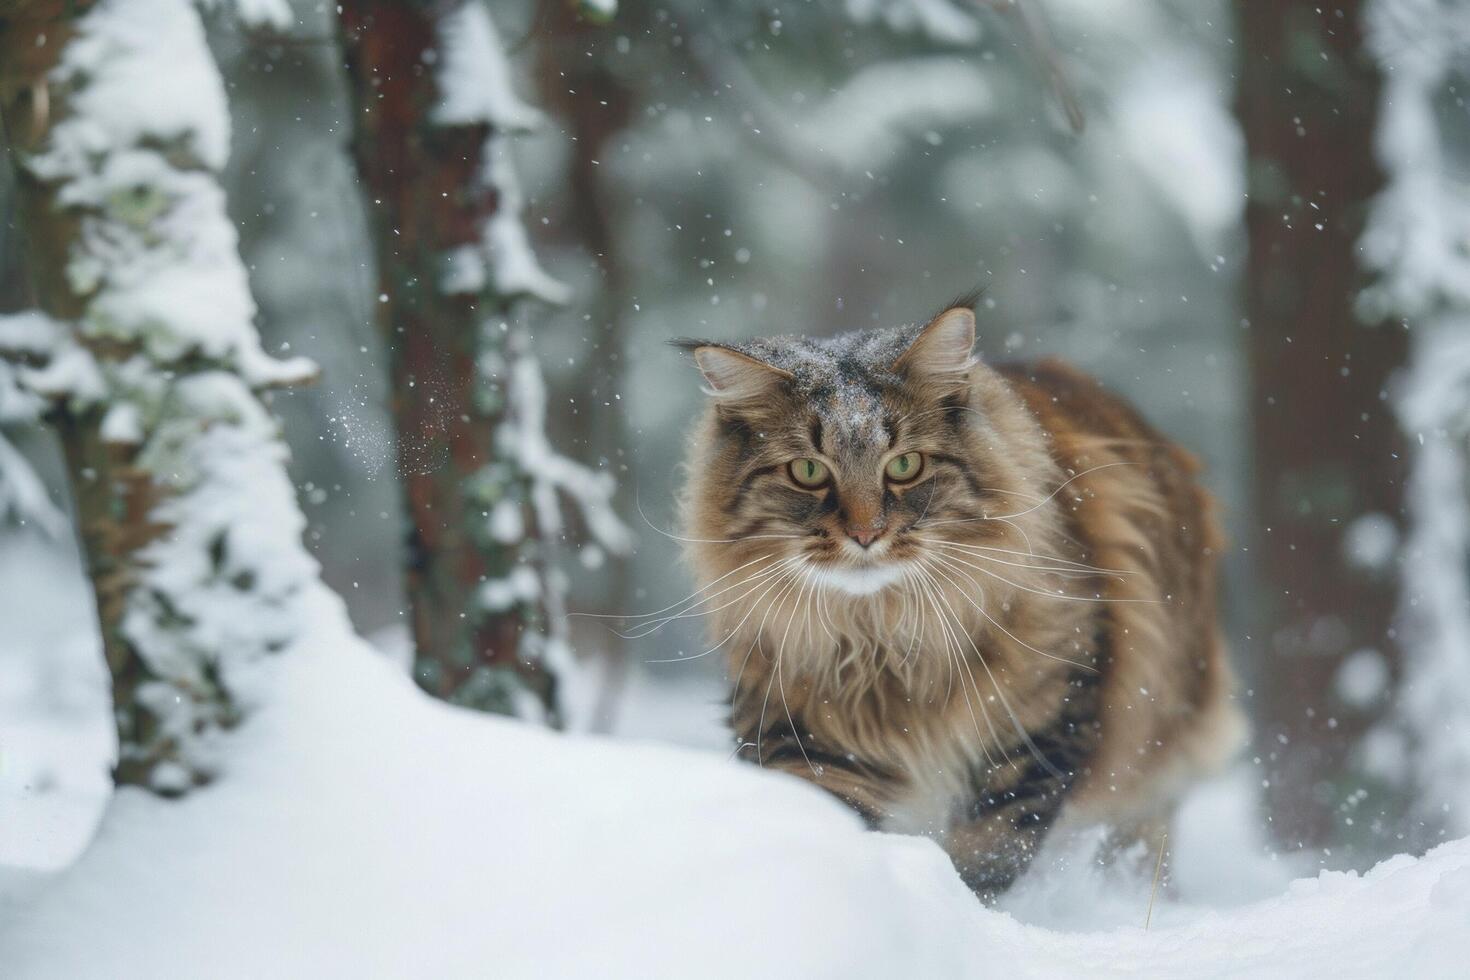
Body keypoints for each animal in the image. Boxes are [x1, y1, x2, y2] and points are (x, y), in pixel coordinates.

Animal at [673, 302, 1240, 899]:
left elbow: (989, 850)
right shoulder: (805, 731)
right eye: (808, 472)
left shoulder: (1041, 719)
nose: (866, 533)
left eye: (905, 466)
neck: (881, 640)